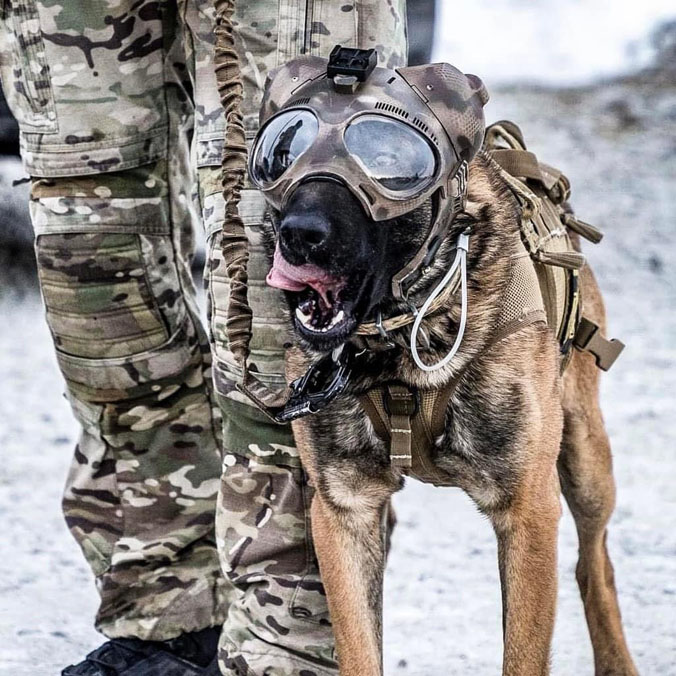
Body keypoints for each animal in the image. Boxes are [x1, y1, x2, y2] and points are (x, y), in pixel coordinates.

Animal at [260, 151, 640, 672]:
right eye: (284, 157)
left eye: (385, 163)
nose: (297, 235)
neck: (399, 354)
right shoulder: (344, 510)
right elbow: (360, 649)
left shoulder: (529, 511)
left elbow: (522, 655)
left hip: (585, 461)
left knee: (594, 563)